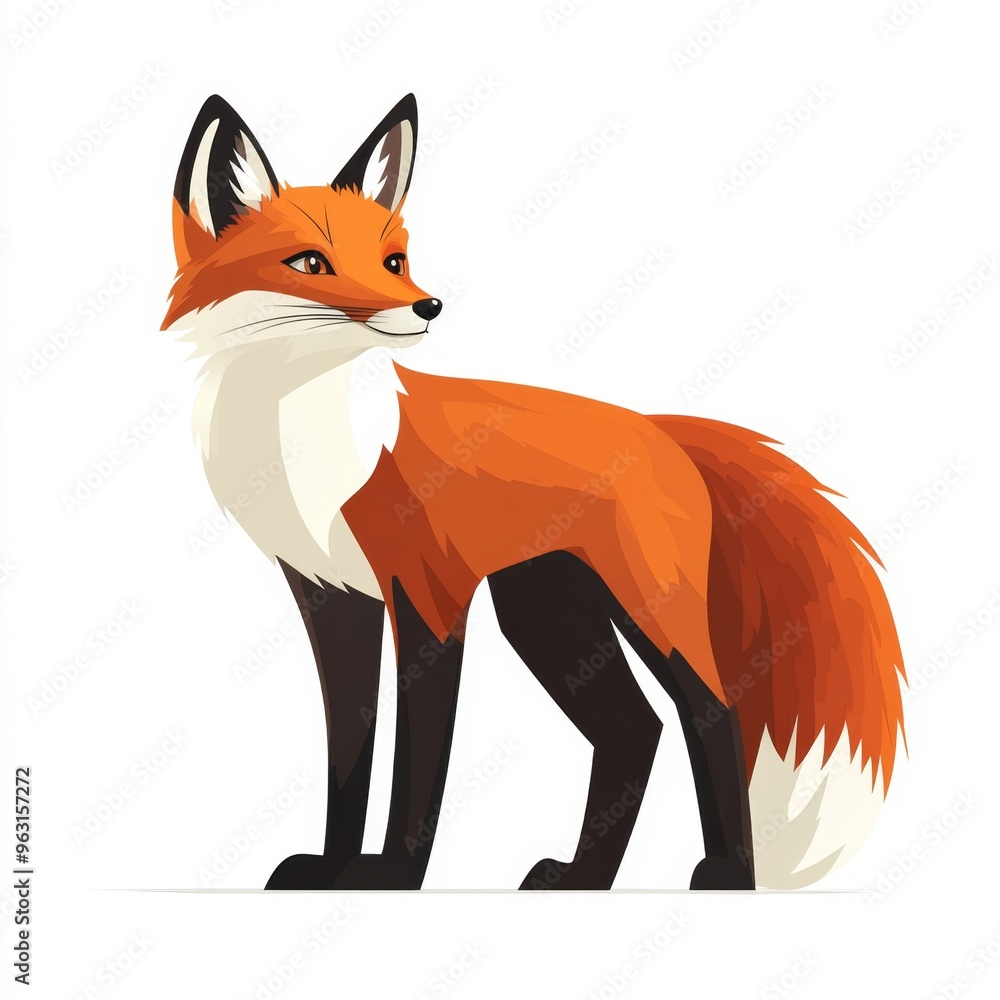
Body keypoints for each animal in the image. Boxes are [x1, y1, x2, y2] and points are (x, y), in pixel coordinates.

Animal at [163, 93, 906, 891]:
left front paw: (393, 875)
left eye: (394, 261)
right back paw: (584, 878)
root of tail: (659, 427)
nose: (428, 306)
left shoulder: (429, 594)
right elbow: (348, 758)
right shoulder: (334, 597)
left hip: (648, 610)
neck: (307, 439)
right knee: (636, 727)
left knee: (712, 712)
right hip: (548, 613)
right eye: (309, 262)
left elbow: (416, 766)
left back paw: (727, 877)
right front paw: (333, 869)